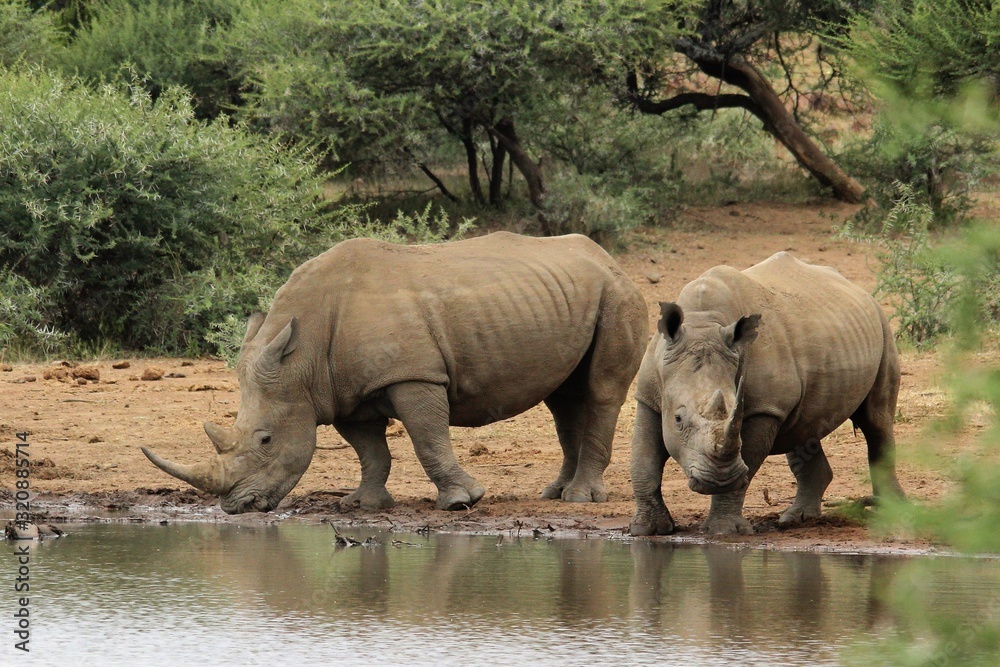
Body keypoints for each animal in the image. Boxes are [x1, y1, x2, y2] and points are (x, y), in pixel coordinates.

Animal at [142, 232, 647, 513]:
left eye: (265, 440)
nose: (235, 508)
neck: (301, 357)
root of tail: (608, 258)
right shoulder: (339, 391)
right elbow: (370, 450)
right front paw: (362, 505)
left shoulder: (413, 374)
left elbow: (427, 438)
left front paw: (461, 502)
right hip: (569, 296)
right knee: (563, 397)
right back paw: (553, 494)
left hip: (618, 293)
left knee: (601, 391)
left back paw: (580, 499)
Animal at [629, 252, 904, 536]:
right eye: (678, 419)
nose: (719, 481)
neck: (702, 324)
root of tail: (859, 290)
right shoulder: (649, 395)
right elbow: (644, 459)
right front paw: (648, 529)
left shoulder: (764, 408)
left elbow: (747, 463)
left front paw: (724, 531)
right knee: (804, 429)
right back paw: (798, 519)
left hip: (883, 326)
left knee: (876, 422)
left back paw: (891, 511)